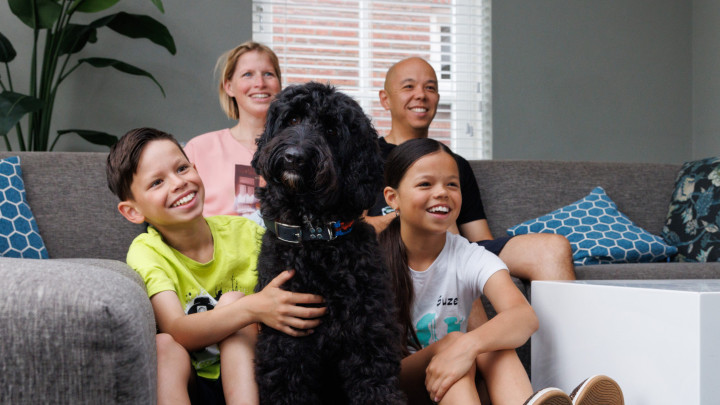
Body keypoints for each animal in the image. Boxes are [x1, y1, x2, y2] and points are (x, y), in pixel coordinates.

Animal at [250, 83, 402, 404]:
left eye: (332, 130)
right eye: (293, 119)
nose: (294, 157)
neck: (316, 238)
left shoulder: (368, 335)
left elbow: (377, 387)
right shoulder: (287, 342)